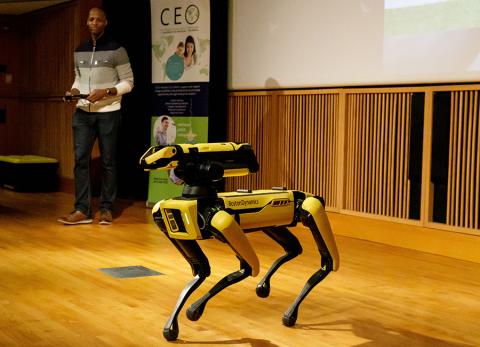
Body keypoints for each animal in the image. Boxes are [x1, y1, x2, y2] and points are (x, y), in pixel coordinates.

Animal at [140, 143, 342, 342]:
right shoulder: (169, 223)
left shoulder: (222, 221)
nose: (144, 161)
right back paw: (265, 285)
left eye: (170, 150)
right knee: (293, 248)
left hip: (308, 210)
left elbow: (248, 267)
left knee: (328, 259)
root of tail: (307, 194)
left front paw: (194, 308)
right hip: (274, 225)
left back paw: (291, 309)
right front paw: (172, 325)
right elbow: (201, 270)